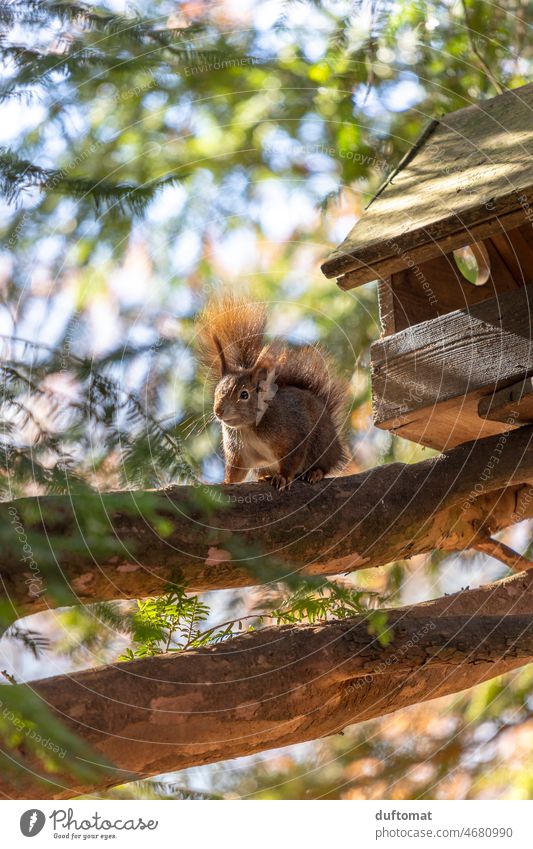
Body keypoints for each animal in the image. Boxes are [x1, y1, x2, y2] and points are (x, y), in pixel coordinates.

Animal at [195, 294, 350, 486]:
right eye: (216, 391)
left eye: (244, 395)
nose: (218, 411)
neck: (248, 428)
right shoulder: (238, 453)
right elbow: (236, 472)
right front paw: (226, 482)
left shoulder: (293, 437)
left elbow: (291, 460)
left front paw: (283, 477)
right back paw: (266, 476)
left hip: (321, 443)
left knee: (325, 464)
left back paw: (315, 473)